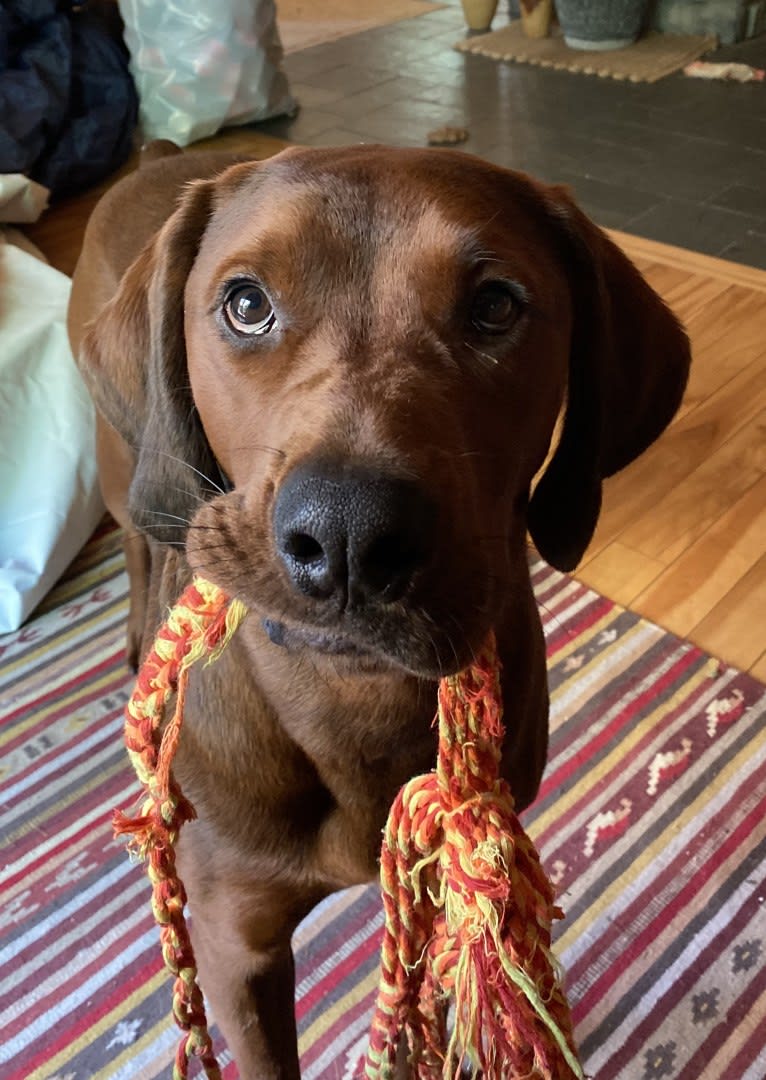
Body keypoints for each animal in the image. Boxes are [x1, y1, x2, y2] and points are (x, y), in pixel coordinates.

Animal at [67, 145, 687, 1080]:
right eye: (246, 304)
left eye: (496, 306)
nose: (349, 531)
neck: (348, 702)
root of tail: (161, 158)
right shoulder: (234, 941)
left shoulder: (448, 884)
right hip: (126, 469)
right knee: (143, 547)